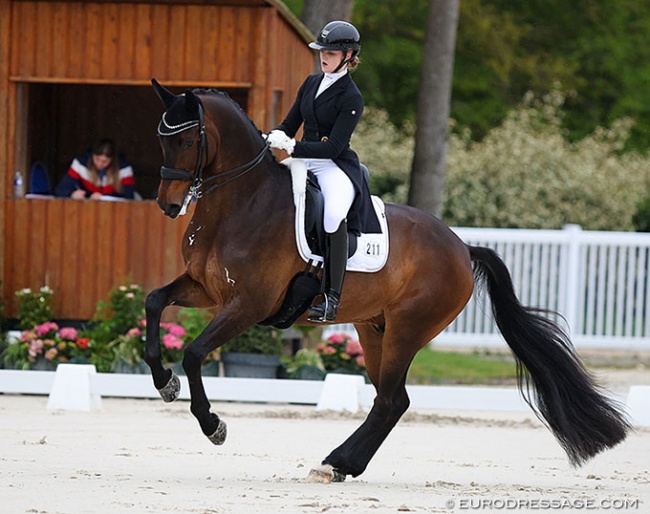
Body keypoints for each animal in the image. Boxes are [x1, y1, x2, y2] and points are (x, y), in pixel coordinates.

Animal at [144, 79, 624, 480]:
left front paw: (213, 425)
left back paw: (337, 463)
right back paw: (339, 465)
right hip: (373, 328)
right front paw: (164, 382)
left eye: (187, 139)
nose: (168, 205)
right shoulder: (205, 289)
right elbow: (153, 301)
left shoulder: (249, 304)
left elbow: (194, 352)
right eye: (161, 140)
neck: (242, 203)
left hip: (407, 329)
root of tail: (461, 247)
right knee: (391, 399)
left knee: (392, 399)